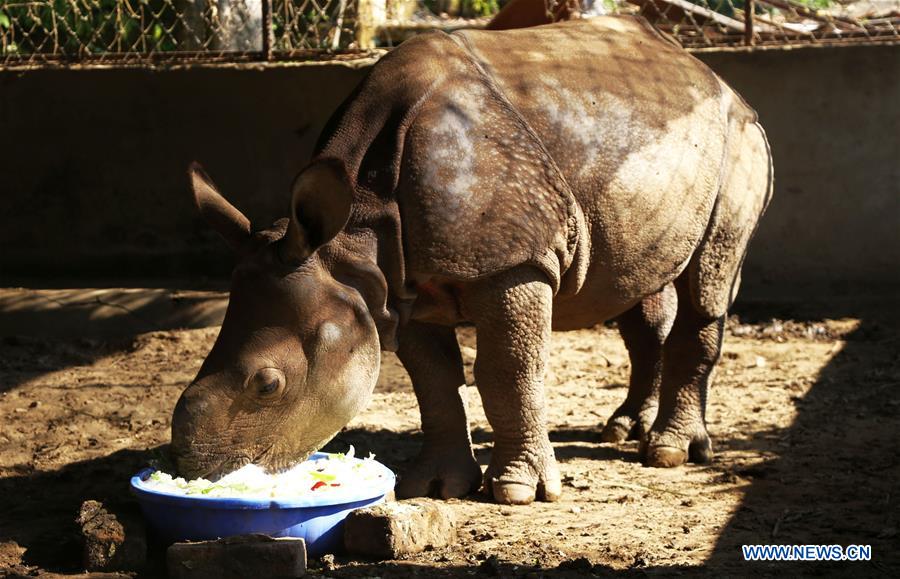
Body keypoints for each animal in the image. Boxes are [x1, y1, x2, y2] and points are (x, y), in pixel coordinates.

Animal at [171, 17, 772, 508]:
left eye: (268, 386)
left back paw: (669, 454)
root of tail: (714, 76)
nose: (193, 469)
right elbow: (433, 380)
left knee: (708, 282)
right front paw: (436, 486)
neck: (352, 239)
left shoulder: (514, 262)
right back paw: (623, 430)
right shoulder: (395, 285)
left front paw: (519, 493)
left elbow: (509, 370)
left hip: (737, 140)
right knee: (635, 285)